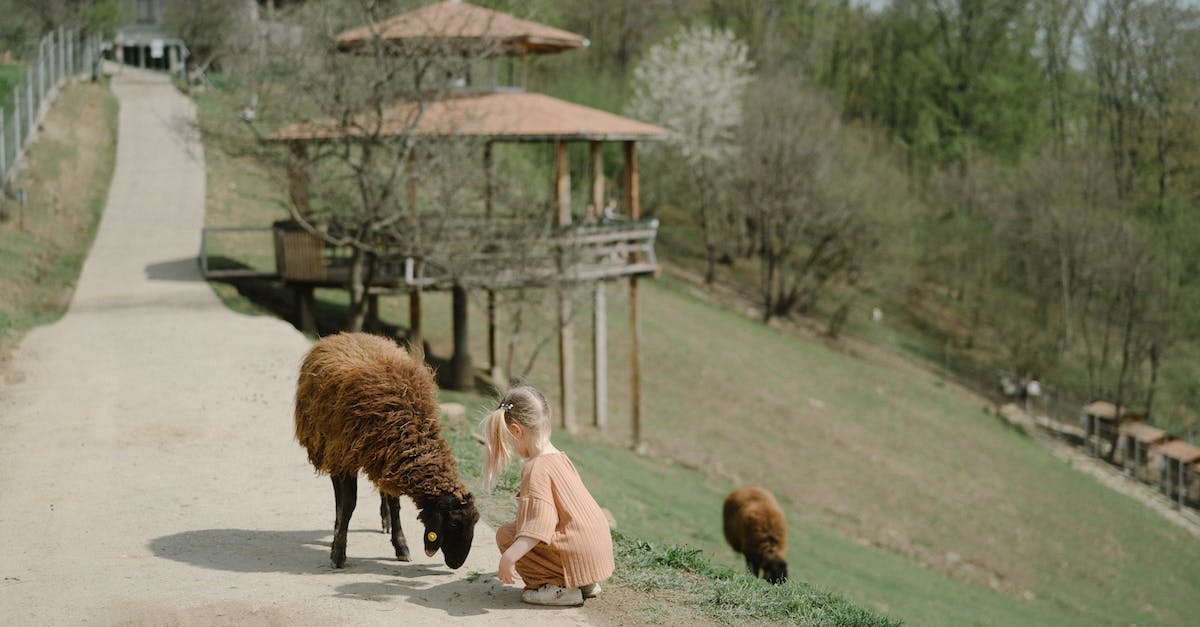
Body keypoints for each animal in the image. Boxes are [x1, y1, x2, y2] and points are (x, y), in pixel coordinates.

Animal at [294, 332, 480, 570]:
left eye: (474, 522)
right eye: (455, 523)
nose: (457, 563)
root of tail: (343, 335)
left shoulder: (390, 455)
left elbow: (394, 504)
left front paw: (400, 545)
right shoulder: (346, 455)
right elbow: (348, 504)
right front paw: (338, 551)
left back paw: (385, 521)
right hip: (331, 447)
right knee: (338, 495)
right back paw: (338, 528)